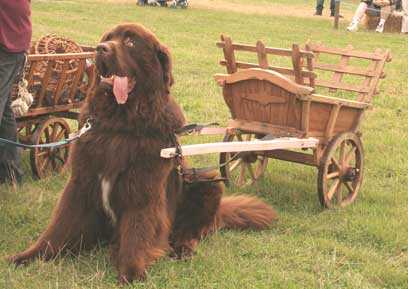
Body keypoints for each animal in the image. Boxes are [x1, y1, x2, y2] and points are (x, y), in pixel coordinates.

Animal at [9, 23, 278, 284]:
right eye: (108, 37)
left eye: (130, 42)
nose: (101, 49)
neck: (120, 123)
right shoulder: (81, 182)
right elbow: (60, 226)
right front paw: (30, 256)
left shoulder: (142, 188)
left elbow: (137, 232)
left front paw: (130, 272)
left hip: (207, 181)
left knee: (192, 230)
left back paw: (182, 249)